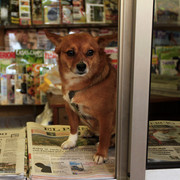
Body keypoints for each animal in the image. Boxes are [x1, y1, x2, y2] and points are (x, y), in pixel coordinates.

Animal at [45, 31, 117, 164]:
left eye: (90, 52)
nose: (81, 66)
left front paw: (101, 154)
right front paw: (71, 142)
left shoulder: (106, 115)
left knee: (110, 139)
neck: (80, 84)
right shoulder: (70, 108)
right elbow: (73, 127)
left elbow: (104, 136)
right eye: (70, 52)